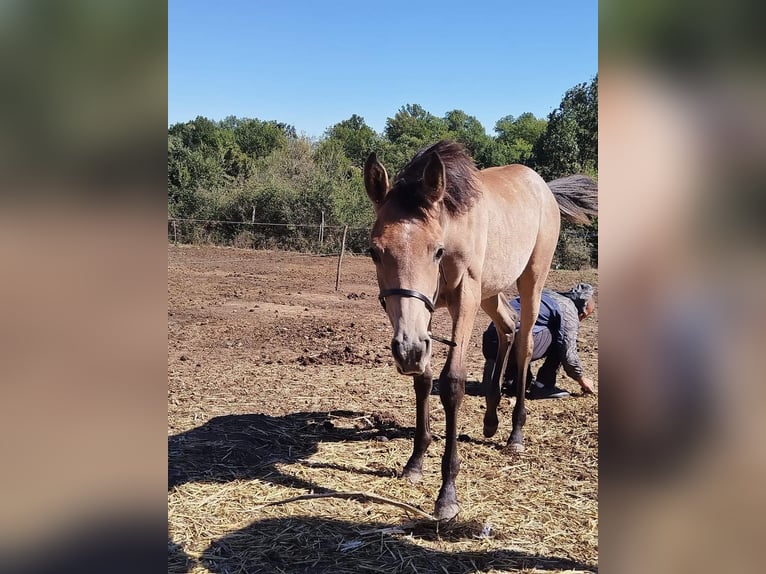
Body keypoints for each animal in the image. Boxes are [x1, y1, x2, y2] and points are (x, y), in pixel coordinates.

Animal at [366, 140, 600, 520]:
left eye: (436, 251)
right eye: (375, 251)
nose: (407, 350)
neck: (452, 225)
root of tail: (544, 188)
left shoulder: (465, 298)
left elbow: (452, 383)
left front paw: (447, 493)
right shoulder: (422, 313)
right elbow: (423, 380)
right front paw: (415, 461)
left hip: (529, 282)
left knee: (522, 343)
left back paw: (515, 434)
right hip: (492, 292)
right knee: (506, 327)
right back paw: (491, 418)